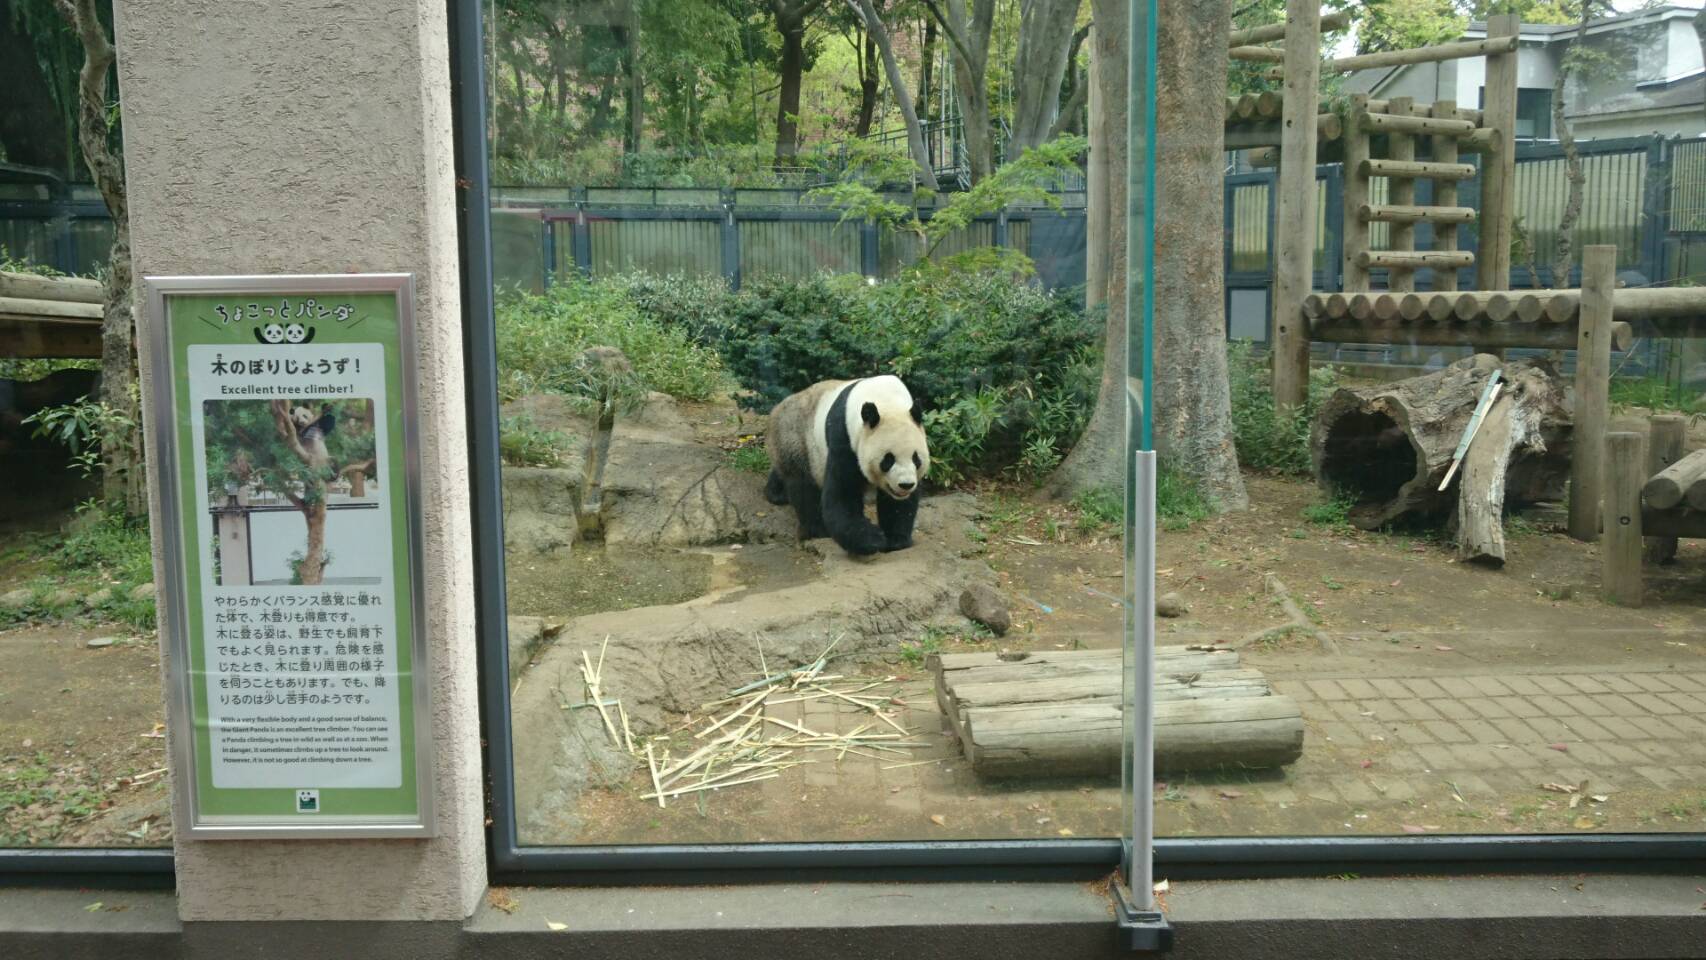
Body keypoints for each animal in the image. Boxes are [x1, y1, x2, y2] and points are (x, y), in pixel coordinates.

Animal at [760, 373, 928, 555]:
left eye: (916, 459)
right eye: (888, 460)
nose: (906, 485)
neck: (885, 400)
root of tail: (776, 409)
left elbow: (897, 505)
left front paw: (895, 540)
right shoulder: (844, 435)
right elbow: (843, 492)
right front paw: (871, 539)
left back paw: (776, 492)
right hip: (796, 437)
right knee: (803, 485)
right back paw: (817, 527)